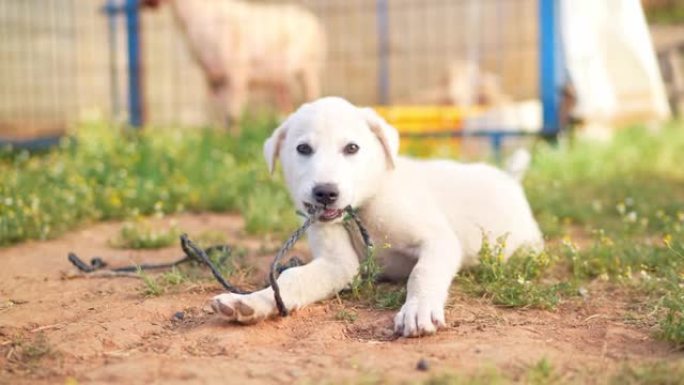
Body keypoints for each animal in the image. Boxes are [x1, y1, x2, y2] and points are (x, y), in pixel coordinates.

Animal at [211, 97, 544, 336]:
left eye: (352, 148)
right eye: (303, 148)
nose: (325, 192)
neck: (363, 207)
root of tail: (510, 178)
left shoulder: (439, 240)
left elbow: (422, 272)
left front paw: (418, 309)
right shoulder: (338, 266)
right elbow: (292, 279)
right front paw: (251, 302)